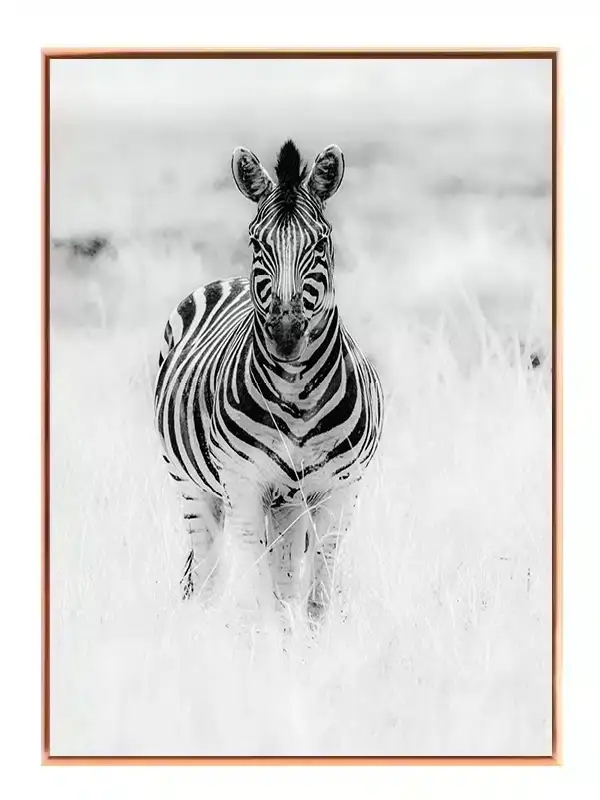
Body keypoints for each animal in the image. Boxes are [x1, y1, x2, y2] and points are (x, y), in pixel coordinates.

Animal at [154, 140, 383, 622]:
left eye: (321, 241)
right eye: (257, 241)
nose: (285, 333)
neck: (296, 395)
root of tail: (231, 280)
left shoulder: (339, 491)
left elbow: (314, 598)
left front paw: (309, 641)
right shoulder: (244, 485)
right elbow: (263, 593)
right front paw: (270, 640)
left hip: (289, 503)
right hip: (190, 486)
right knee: (206, 571)